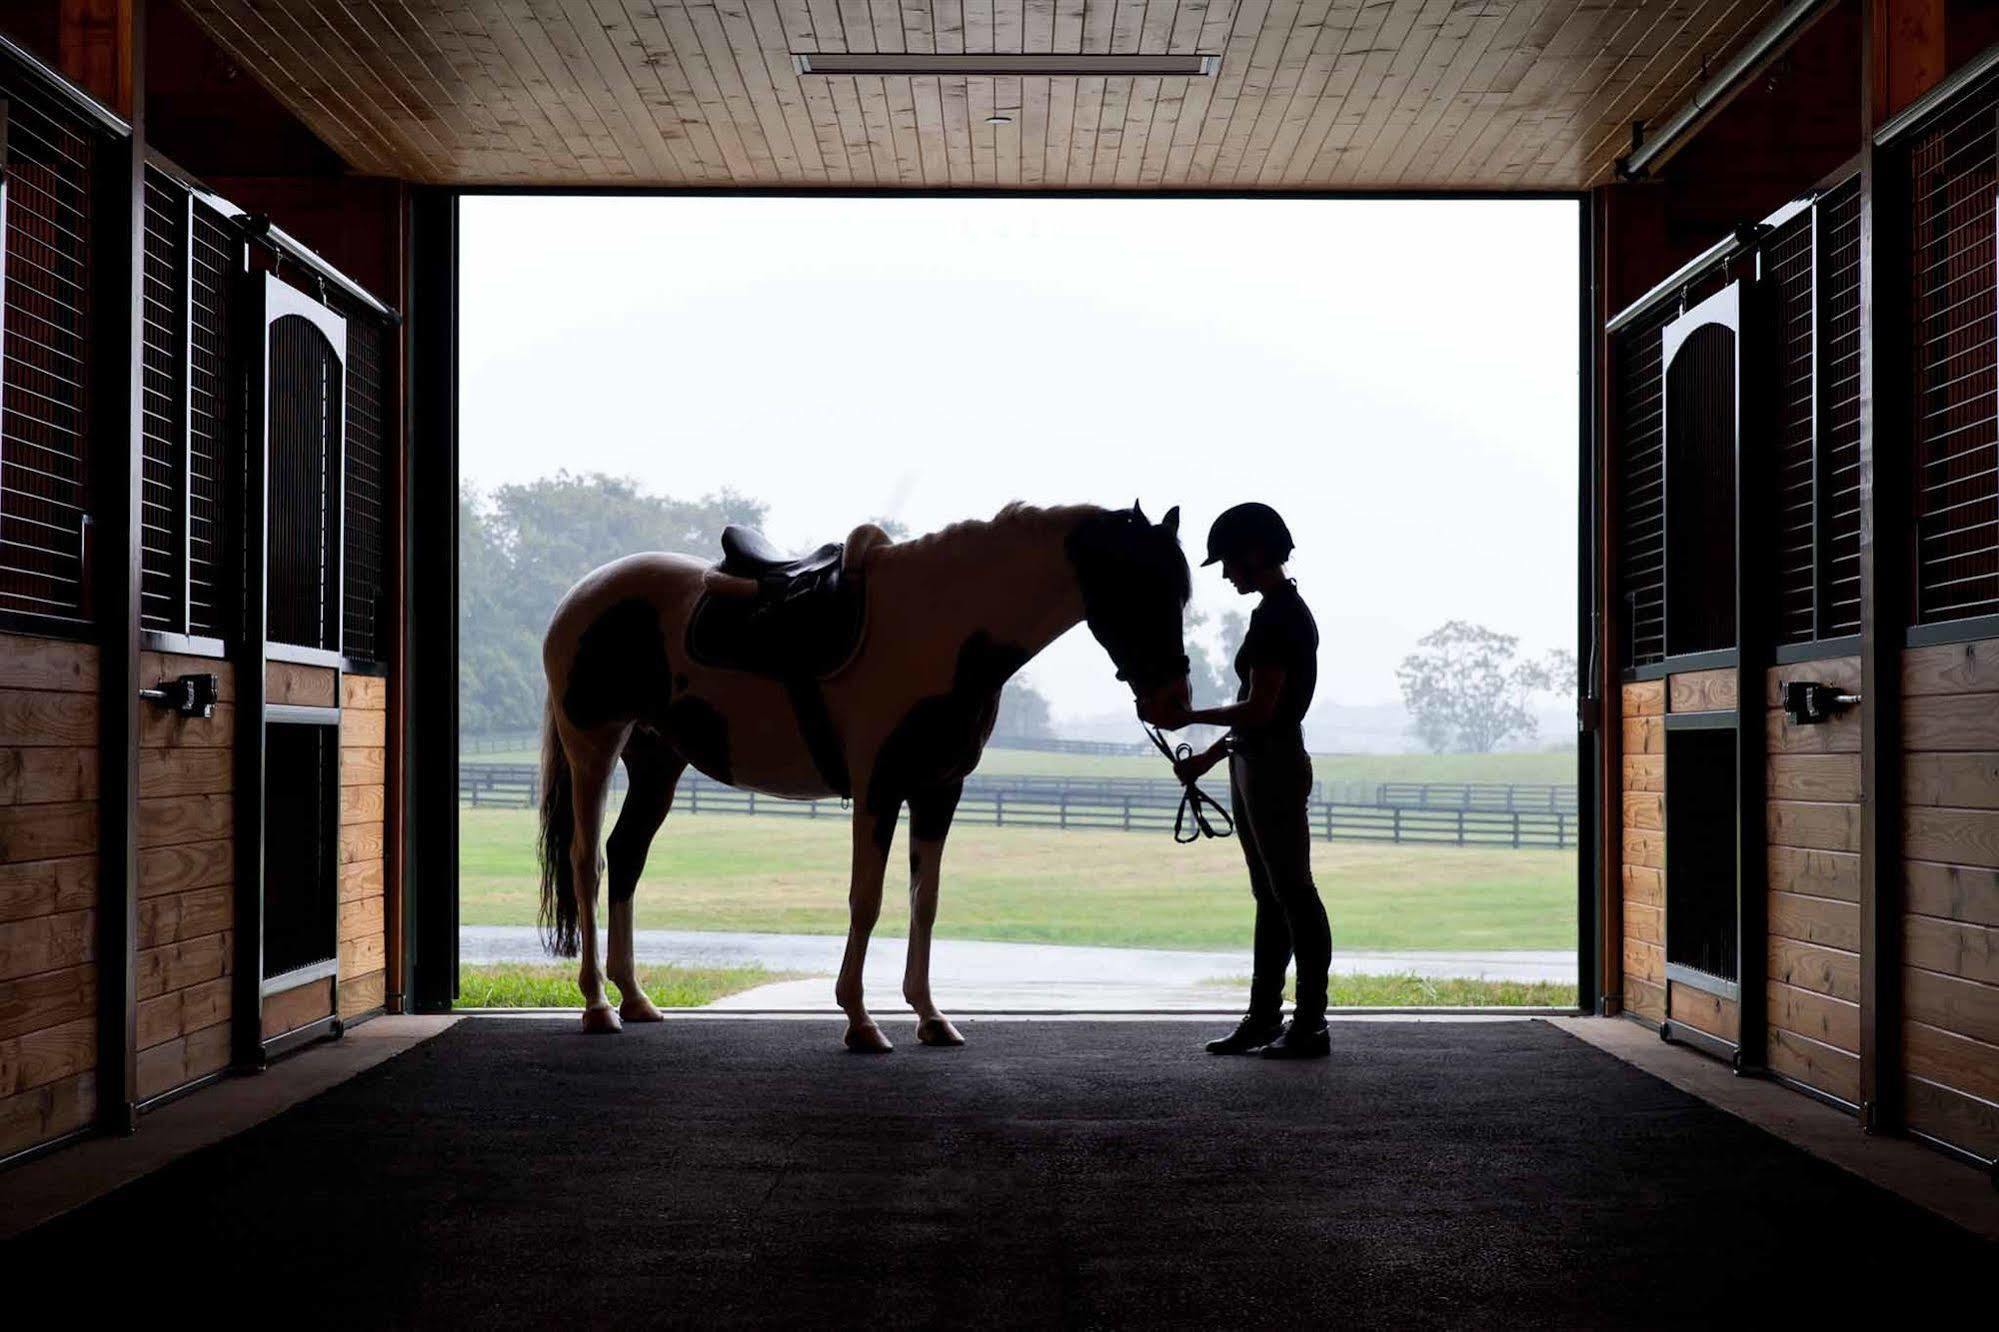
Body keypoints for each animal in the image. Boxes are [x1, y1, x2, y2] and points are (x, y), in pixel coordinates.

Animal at [535, 498, 1183, 1048]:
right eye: (1139, 587)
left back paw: (635, 997)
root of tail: (581, 596)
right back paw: (598, 1007)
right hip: (593, 748)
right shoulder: (880, 788)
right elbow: (865, 899)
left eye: (1178, 591)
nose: (1173, 702)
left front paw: (930, 1017)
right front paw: (860, 1020)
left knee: (626, 856)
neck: (939, 624)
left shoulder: (939, 790)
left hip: (657, 762)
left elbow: (925, 900)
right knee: (587, 863)